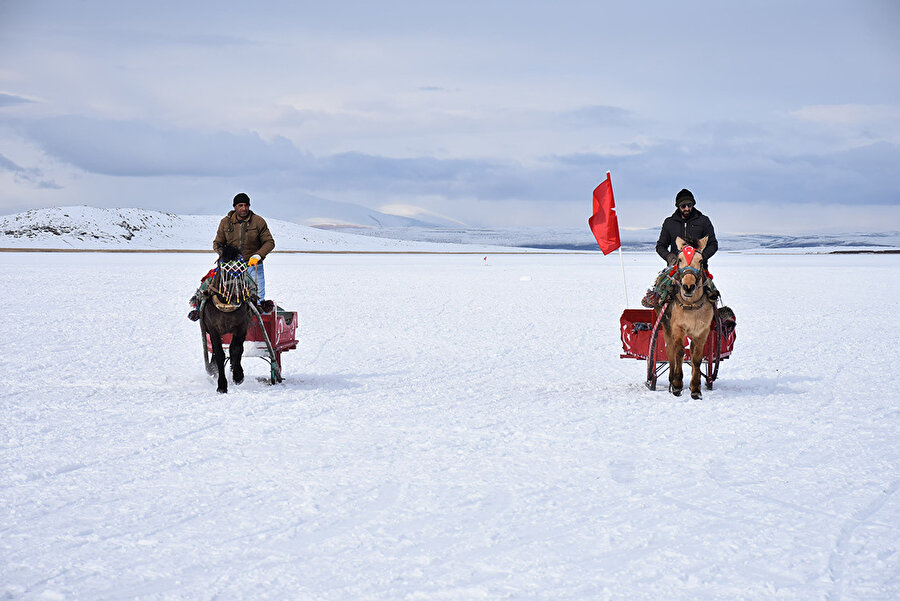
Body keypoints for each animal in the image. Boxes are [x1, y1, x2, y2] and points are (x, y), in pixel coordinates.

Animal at [200, 245, 251, 394]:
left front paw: (238, 376)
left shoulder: (241, 327)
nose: (236, 297)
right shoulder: (214, 329)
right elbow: (220, 354)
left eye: (243, 269)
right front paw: (222, 385)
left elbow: (236, 350)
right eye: (224, 269)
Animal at [656, 236, 712, 398]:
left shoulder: (702, 332)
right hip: (667, 328)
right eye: (679, 259)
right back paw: (671, 379)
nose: (688, 286)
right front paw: (677, 384)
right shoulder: (678, 328)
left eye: (701, 260)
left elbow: (697, 359)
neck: (691, 305)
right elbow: (679, 352)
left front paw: (696, 389)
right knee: (671, 351)